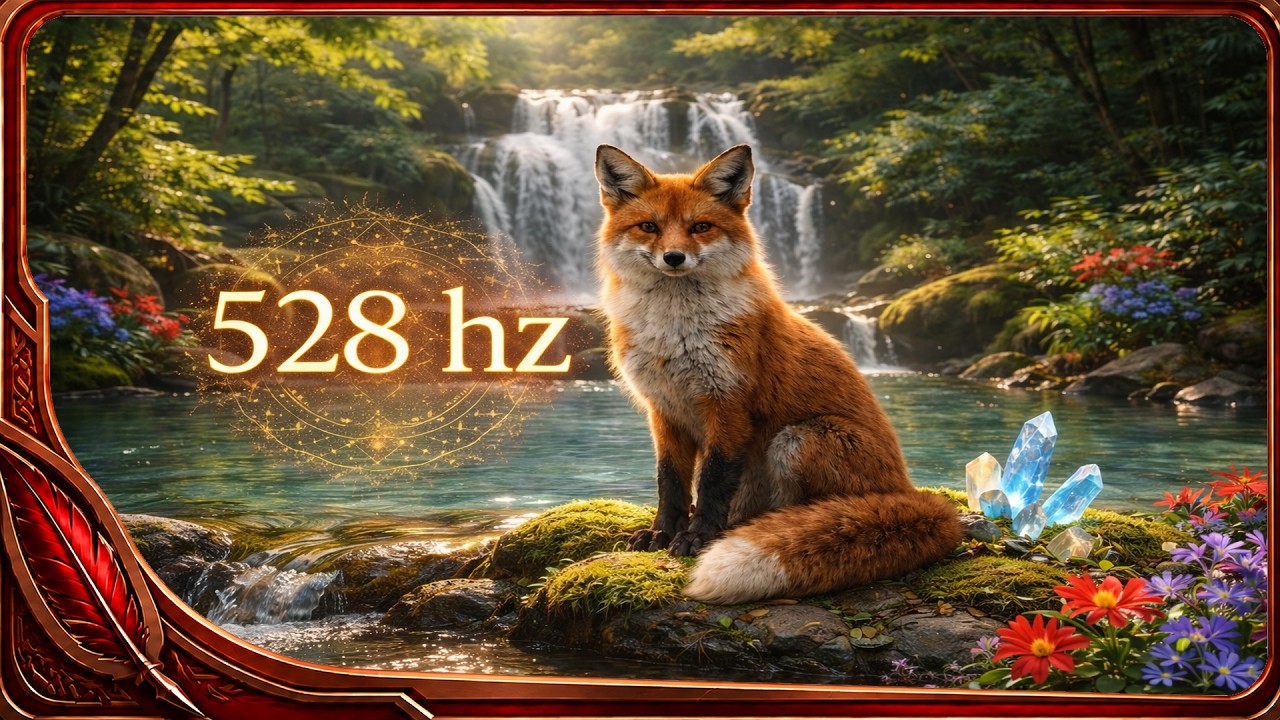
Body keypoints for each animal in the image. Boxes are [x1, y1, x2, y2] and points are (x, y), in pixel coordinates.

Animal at [594, 144, 964, 605]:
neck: (675, 333)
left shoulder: (728, 402)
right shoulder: (663, 409)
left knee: (806, 512)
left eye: (700, 227)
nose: (674, 258)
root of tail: (906, 489)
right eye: (649, 227)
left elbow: (713, 479)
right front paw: (662, 534)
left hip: (798, 439)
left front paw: (697, 537)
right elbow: (671, 482)